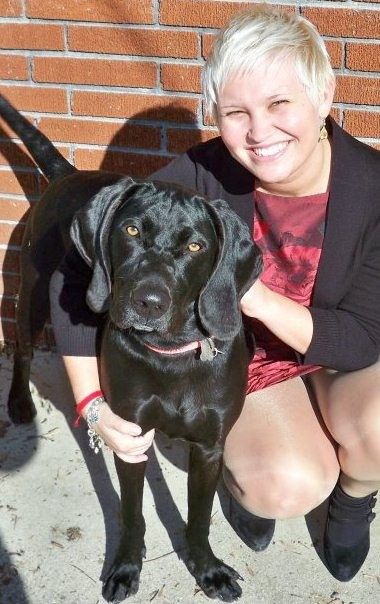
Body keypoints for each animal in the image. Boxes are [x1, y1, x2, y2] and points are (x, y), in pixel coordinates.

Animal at [0, 96, 262, 600]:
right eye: (133, 231)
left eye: (196, 246)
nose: (148, 301)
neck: (170, 354)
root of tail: (67, 174)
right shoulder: (130, 434)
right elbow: (132, 511)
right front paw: (125, 565)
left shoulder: (210, 447)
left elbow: (199, 518)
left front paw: (207, 568)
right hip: (34, 293)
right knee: (22, 347)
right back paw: (20, 403)